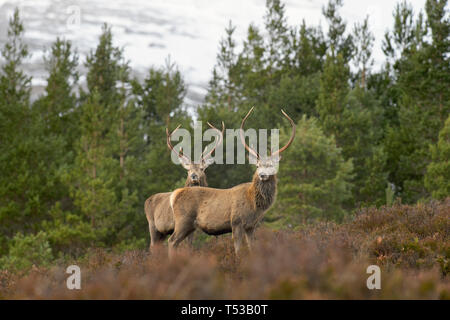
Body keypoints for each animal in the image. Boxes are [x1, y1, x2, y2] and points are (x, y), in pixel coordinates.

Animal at [145, 121, 224, 249]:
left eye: (202, 169)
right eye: (188, 170)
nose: (193, 176)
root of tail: (147, 200)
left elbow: (189, 244)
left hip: (162, 232)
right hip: (152, 225)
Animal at [169, 109, 296, 256]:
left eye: (271, 165)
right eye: (257, 165)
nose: (262, 175)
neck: (254, 203)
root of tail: (175, 195)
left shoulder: (251, 226)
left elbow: (252, 248)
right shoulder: (236, 222)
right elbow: (238, 250)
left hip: (189, 226)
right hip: (183, 221)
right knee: (171, 241)